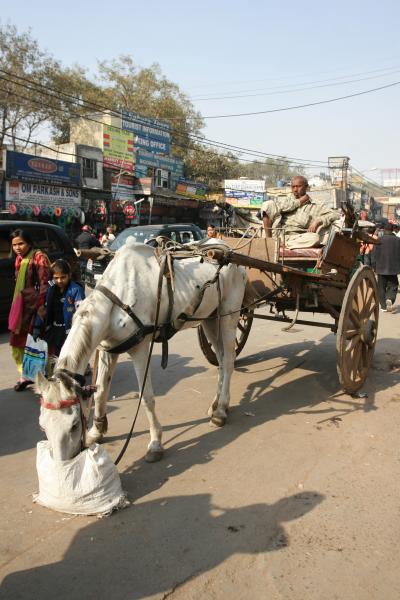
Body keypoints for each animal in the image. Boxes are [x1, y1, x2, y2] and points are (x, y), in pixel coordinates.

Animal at [36, 241, 247, 462]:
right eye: (43, 425)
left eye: (74, 425)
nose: (64, 463)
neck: (116, 299)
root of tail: (229, 253)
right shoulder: (109, 349)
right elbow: (101, 392)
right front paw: (97, 430)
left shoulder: (140, 349)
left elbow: (146, 398)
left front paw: (155, 443)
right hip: (209, 318)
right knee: (221, 360)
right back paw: (216, 405)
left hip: (229, 315)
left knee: (229, 360)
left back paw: (221, 412)